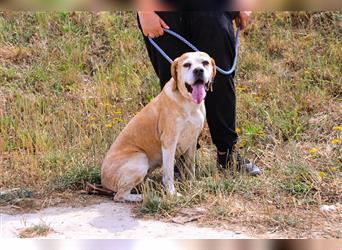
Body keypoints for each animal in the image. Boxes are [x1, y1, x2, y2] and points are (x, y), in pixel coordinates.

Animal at [100, 51, 216, 202]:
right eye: (187, 65)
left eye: (205, 63)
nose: (198, 71)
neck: (189, 102)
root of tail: (103, 179)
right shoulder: (169, 142)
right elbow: (169, 173)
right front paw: (172, 194)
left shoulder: (192, 142)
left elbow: (191, 168)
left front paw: (192, 184)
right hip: (140, 159)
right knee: (119, 195)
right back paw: (144, 197)